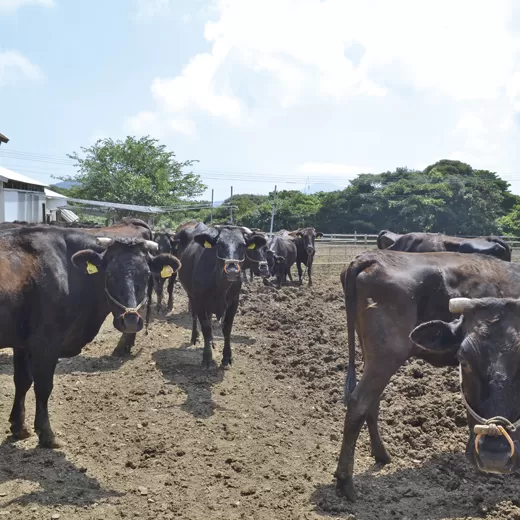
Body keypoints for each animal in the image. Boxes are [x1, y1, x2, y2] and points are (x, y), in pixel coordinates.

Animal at [0, 226, 181, 446]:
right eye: (109, 274)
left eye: (146, 273)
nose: (130, 320)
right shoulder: (46, 343)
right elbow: (43, 386)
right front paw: (46, 434)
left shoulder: (22, 342)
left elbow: (22, 381)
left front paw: (19, 427)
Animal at [179, 225, 268, 368]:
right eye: (219, 245)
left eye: (243, 246)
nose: (232, 271)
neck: (220, 286)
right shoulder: (199, 301)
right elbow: (206, 327)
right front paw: (207, 358)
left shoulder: (233, 302)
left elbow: (226, 328)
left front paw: (227, 356)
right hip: (191, 296)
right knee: (194, 317)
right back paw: (195, 337)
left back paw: (212, 342)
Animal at [336, 250, 520, 502]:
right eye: (463, 360)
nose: (495, 457)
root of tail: (372, 257)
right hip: (385, 356)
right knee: (359, 403)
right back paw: (345, 483)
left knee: (371, 403)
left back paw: (381, 455)